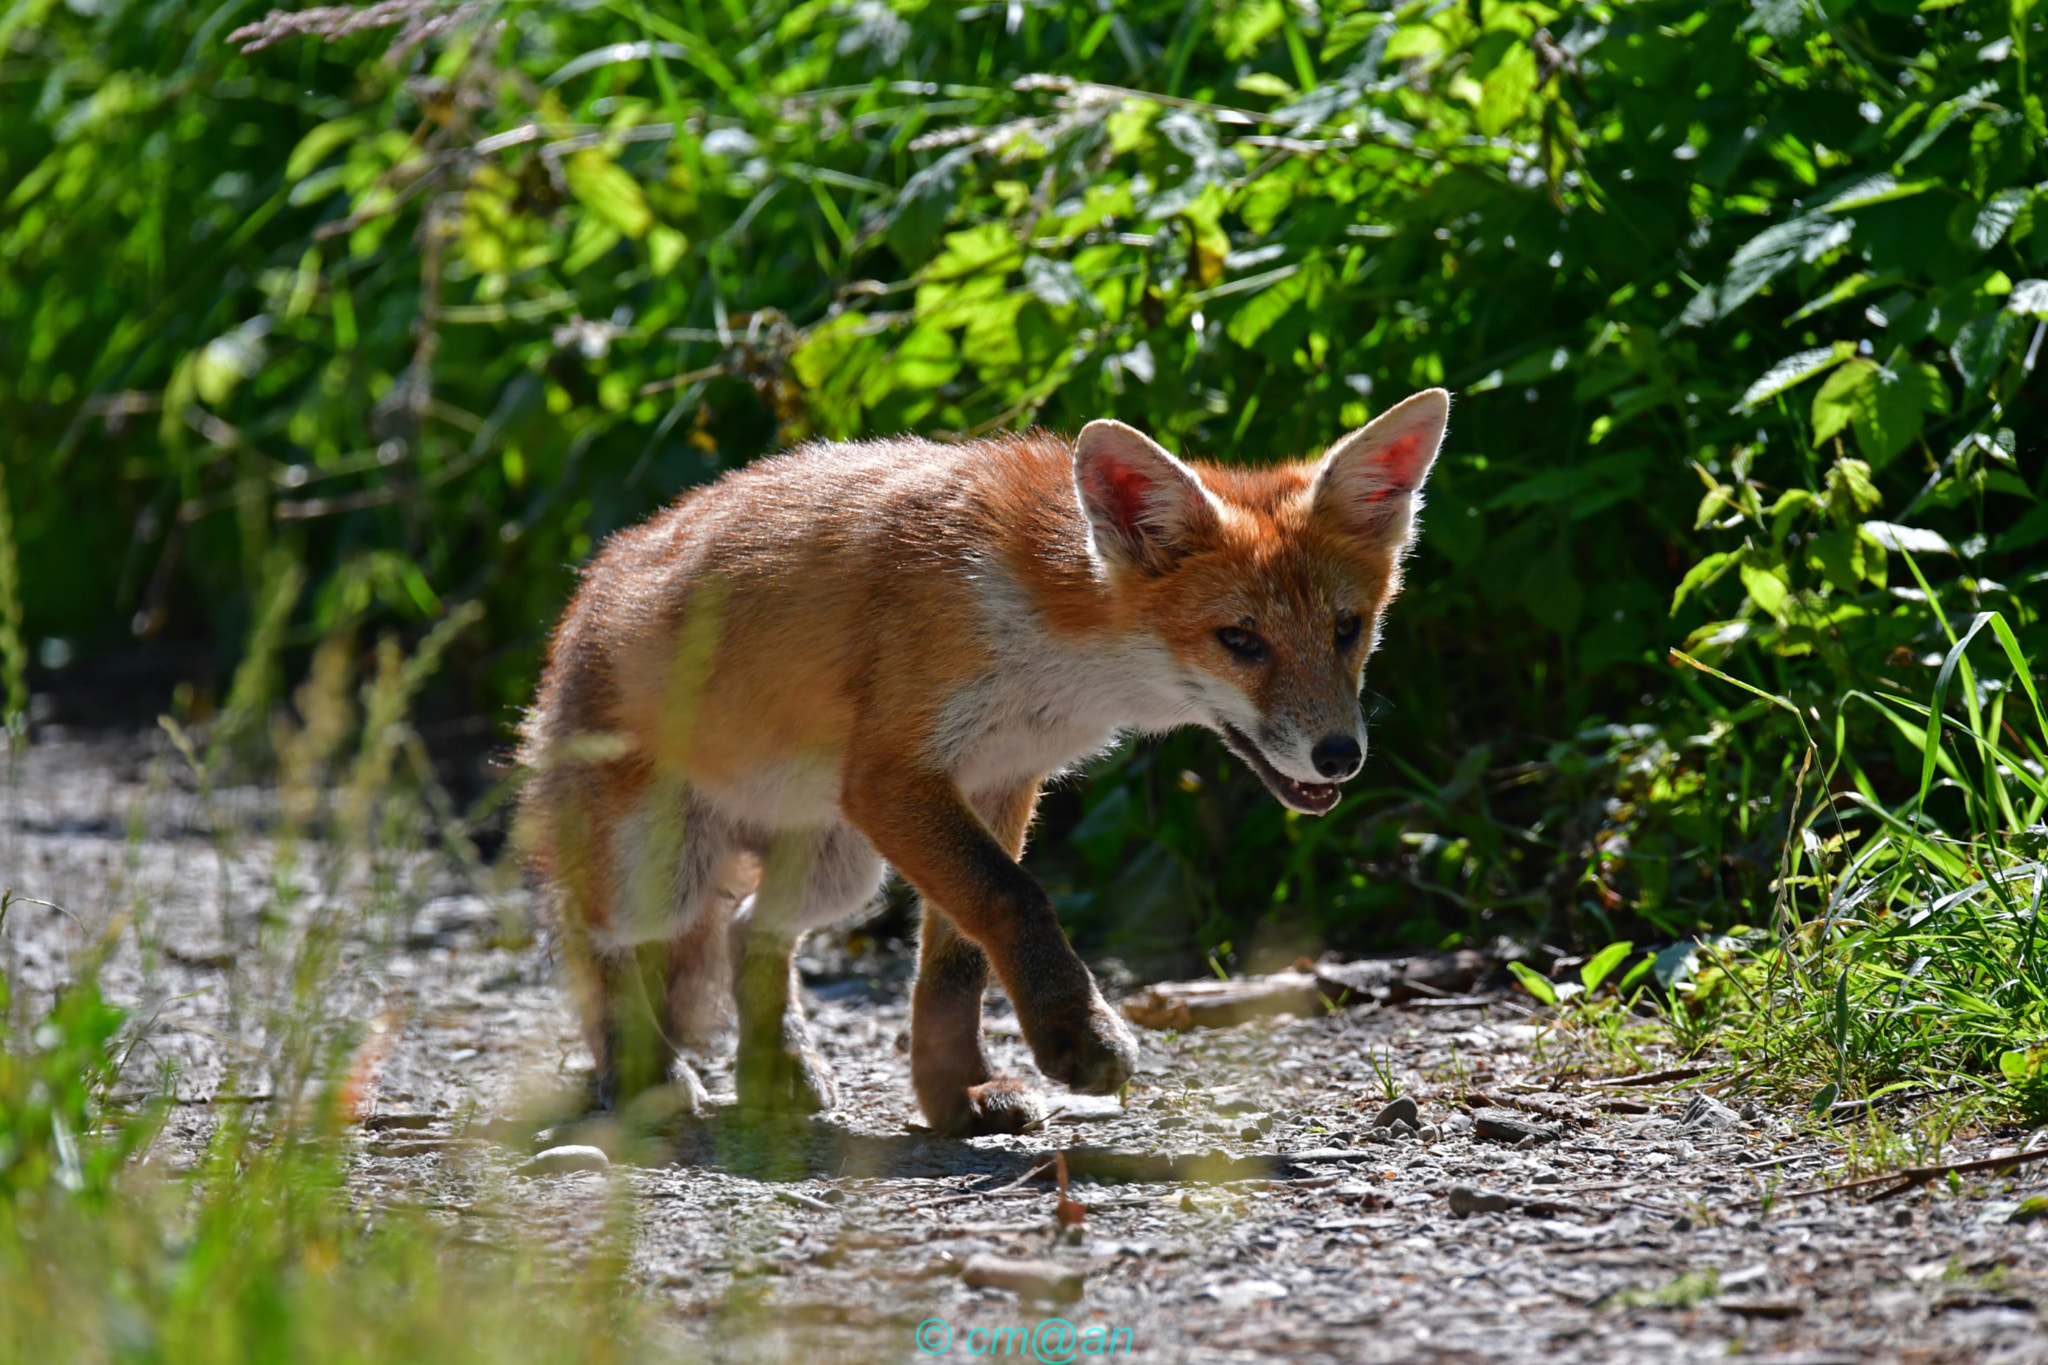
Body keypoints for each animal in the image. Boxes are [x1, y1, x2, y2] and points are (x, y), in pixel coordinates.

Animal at [517, 387, 1448, 1135]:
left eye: (1346, 629)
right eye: (1241, 641)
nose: (1341, 754)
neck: (1052, 640)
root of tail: (584, 591)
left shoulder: (999, 775)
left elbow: (959, 956)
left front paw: (952, 1097)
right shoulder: (895, 778)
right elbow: (1014, 896)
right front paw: (1076, 1036)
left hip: (837, 864)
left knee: (753, 929)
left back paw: (779, 1067)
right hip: (665, 863)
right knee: (594, 937)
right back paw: (647, 1075)